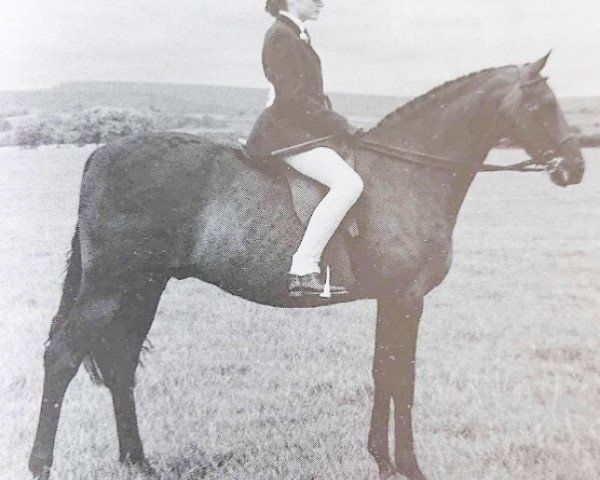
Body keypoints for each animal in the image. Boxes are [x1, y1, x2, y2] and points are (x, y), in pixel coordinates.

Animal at [29, 53, 584, 480]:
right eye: (542, 105)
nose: (575, 167)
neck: (408, 172)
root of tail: (100, 151)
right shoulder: (407, 298)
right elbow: (402, 378)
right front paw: (409, 466)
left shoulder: (391, 300)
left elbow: (382, 372)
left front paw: (382, 462)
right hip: (110, 288)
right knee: (62, 356)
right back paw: (40, 464)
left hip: (144, 287)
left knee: (120, 362)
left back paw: (138, 461)